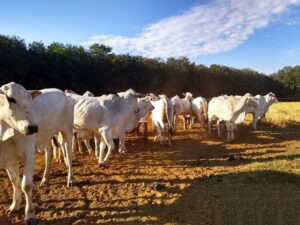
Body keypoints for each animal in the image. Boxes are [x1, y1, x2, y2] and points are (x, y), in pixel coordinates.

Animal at [0, 82, 39, 225]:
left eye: (30, 99)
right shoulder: (8, 159)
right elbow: (15, 181)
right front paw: (14, 205)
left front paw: (29, 215)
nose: (33, 127)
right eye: (11, 99)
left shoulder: (29, 154)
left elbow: (26, 185)